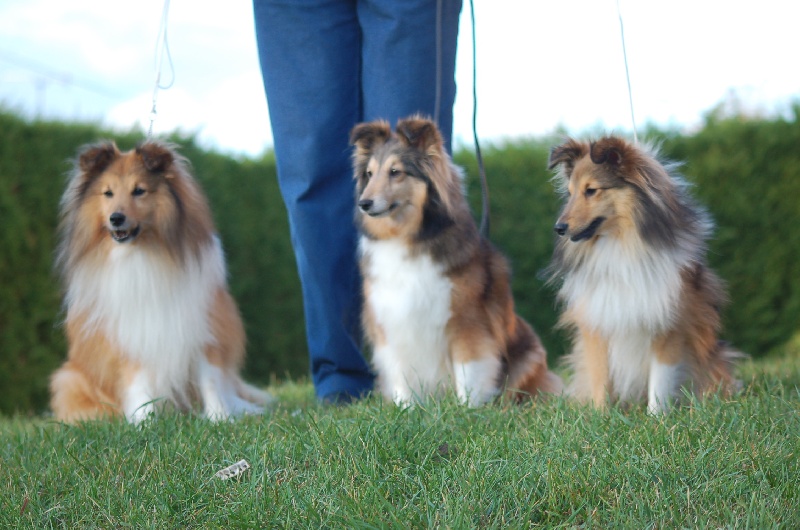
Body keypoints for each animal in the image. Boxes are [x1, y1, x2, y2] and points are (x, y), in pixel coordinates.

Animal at [49, 140, 272, 420]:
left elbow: (210, 377)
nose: (116, 218)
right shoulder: (131, 334)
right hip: (69, 378)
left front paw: (219, 418)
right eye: (107, 193)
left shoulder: (201, 324)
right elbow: (138, 381)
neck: (146, 252)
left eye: (139, 191)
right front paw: (144, 421)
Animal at [350, 115, 564, 404]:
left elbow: (470, 370)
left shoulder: (467, 321)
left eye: (395, 172)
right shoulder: (391, 321)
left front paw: (467, 409)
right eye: (370, 174)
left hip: (529, 354)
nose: (364, 203)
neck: (407, 238)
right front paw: (406, 409)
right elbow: (400, 373)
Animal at [548, 136, 740, 412]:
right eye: (570, 193)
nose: (559, 228)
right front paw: (602, 414)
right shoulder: (597, 320)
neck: (622, 243)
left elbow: (660, 379)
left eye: (591, 190)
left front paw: (656, 416)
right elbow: (600, 377)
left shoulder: (667, 321)